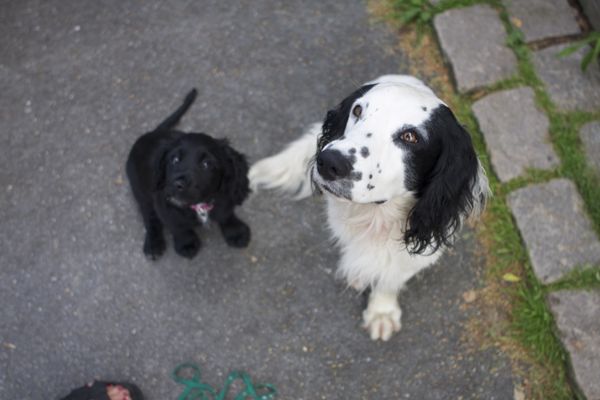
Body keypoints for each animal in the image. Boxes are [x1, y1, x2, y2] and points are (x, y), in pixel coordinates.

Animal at [125, 89, 250, 260]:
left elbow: (226, 213)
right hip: (140, 192)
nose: (178, 185)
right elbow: (178, 226)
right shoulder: (164, 206)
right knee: (149, 217)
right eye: (174, 159)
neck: (200, 206)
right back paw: (153, 243)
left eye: (207, 164)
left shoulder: (225, 196)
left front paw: (236, 232)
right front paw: (186, 243)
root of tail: (152, 133)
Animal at [251, 75, 490, 340]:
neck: (378, 215)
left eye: (410, 137)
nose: (329, 162)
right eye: (357, 110)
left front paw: (381, 311)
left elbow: (391, 277)